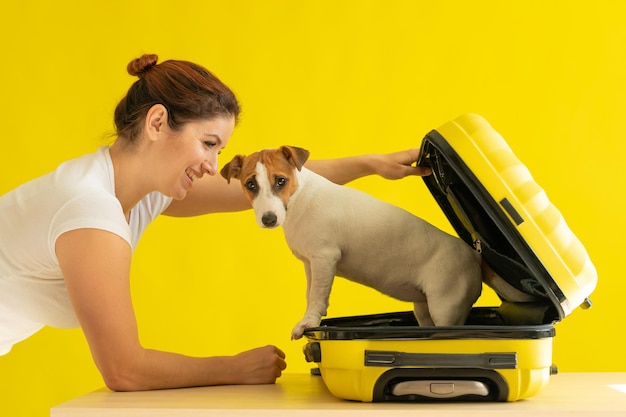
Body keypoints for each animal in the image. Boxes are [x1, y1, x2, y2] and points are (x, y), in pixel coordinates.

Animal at [219, 145, 532, 338]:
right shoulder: (311, 263)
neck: (299, 198)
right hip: (424, 308)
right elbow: (311, 294)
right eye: (250, 185)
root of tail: (474, 255)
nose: (269, 218)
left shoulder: (324, 258)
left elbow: (317, 296)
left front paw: (309, 322)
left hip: (447, 306)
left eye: (281, 181)